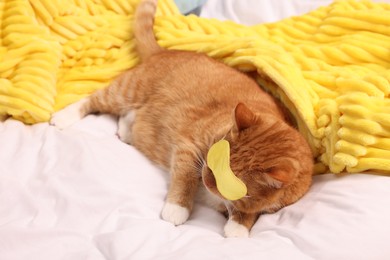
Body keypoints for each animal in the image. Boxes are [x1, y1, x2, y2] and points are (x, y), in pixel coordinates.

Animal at [51, 0, 314, 238]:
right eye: (213, 157)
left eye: (227, 181)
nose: (206, 178)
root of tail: (165, 51)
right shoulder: (189, 146)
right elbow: (185, 178)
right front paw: (177, 208)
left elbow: (251, 212)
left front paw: (239, 226)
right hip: (126, 90)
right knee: (93, 100)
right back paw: (64, 117)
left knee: (129, 115)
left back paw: (127, 129)